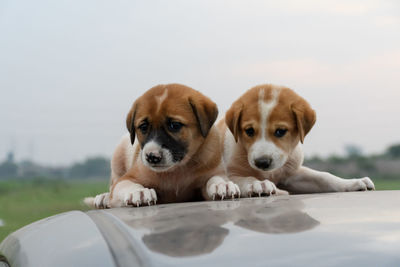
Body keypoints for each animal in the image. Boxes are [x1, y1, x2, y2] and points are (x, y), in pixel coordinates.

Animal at [85, 84, 239, 209]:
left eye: (175, 125)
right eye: (143, 127)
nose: (152, 157)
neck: (176, 171)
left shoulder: (209, 175)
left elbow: (215, 178)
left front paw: (222, 185)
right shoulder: (127, 178)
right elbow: (127, 185)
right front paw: (139, 192)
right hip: (118, 157)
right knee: (112, 185)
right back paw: (104, 197)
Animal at [219, 85, 376, 198]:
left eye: (281, 131)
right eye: (249, 131)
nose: (262, 163)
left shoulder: (292, 174)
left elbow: (324, 177)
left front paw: (352, 182)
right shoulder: (231, 173)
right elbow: (245, 178)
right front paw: (258, 183)